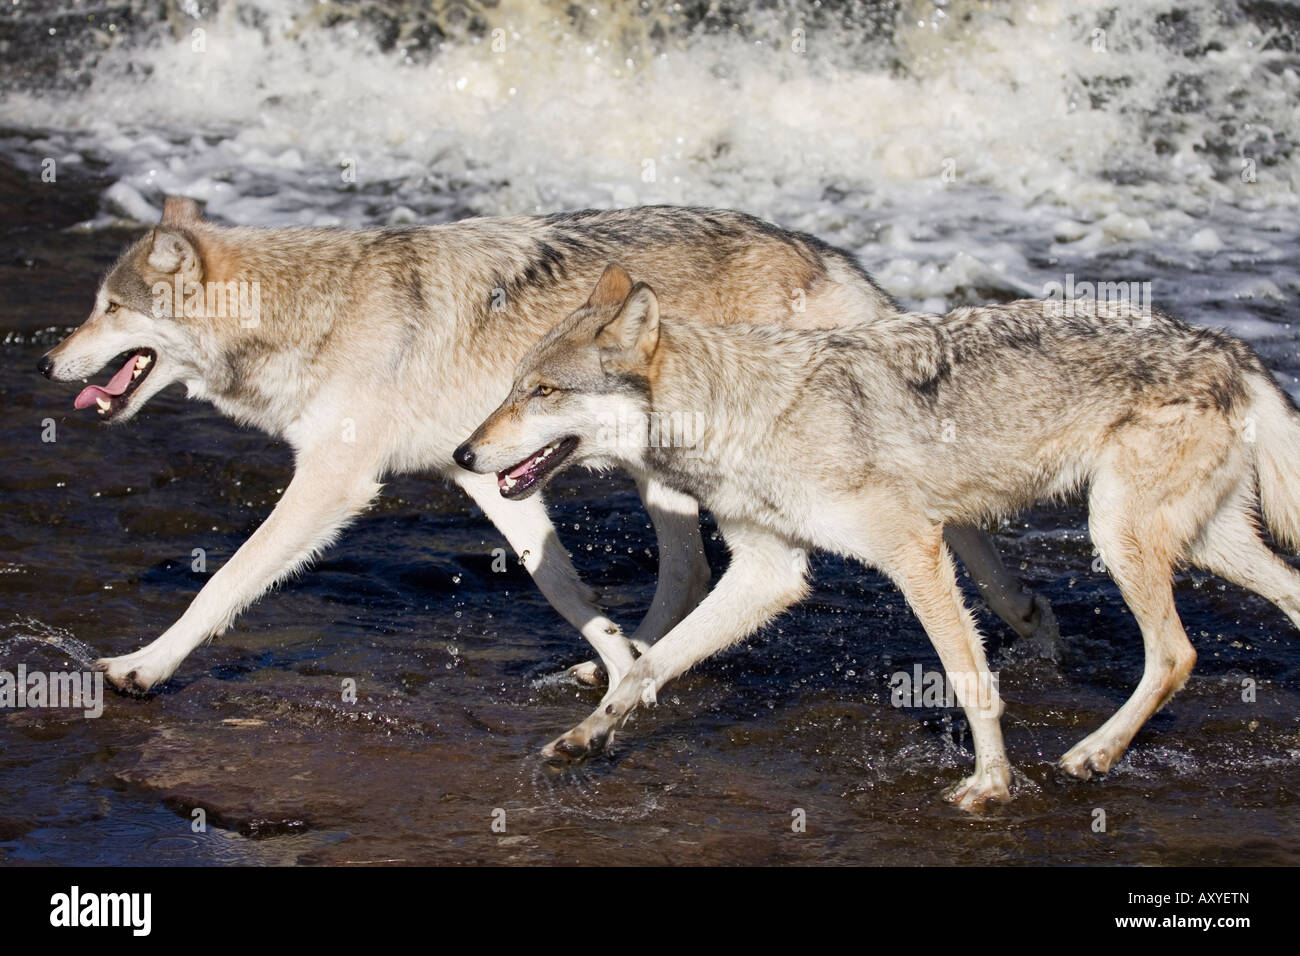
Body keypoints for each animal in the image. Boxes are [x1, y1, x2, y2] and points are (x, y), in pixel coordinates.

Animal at [38, 197, 1045, 697]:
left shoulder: (334, 481)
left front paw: (141, 668)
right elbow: (561, 587)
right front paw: (618, 662)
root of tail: (822, 252)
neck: (309, 310)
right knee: (694, 571)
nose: (49, 360)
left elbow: (225, 582)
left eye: (108, 308)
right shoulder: (484, 475)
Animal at [457, 265, 1300, 811]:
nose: (464, 454)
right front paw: (584, 739)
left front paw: (992, 784)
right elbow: (643, 667)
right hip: (1199, 545)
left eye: (541, 391)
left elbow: (969, 677)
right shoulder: (770, 570)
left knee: (1176, 653)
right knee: (1279, 600)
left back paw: (1093, 755)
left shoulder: (912, 549)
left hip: (1119, 536)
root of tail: (1226, 344)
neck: (741, 413)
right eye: (511, 387)